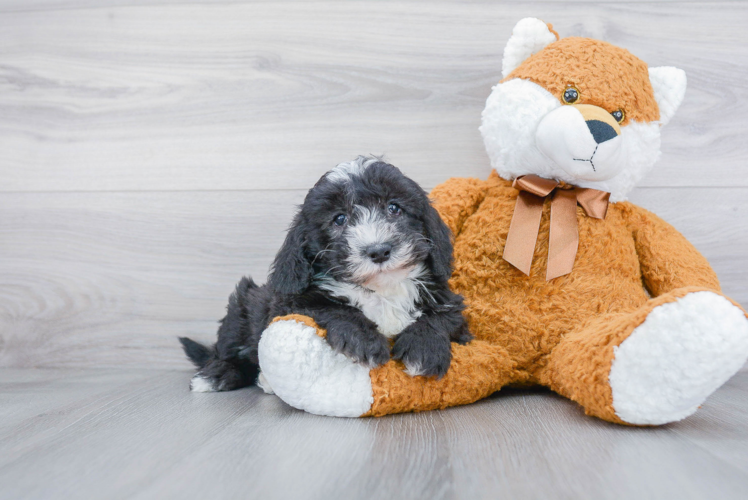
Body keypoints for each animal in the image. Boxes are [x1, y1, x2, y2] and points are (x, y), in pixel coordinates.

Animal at [179, 154, 470, 392]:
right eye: (339, 219)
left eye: (394, 208)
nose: (378, 250)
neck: (380, 289)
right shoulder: (290, 304)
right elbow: (332, 307)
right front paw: (364, 340)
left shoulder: (451, 305)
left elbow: (441, 317)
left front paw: (424, 349)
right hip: (242, 307)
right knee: (226, 352)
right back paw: (218, 376)